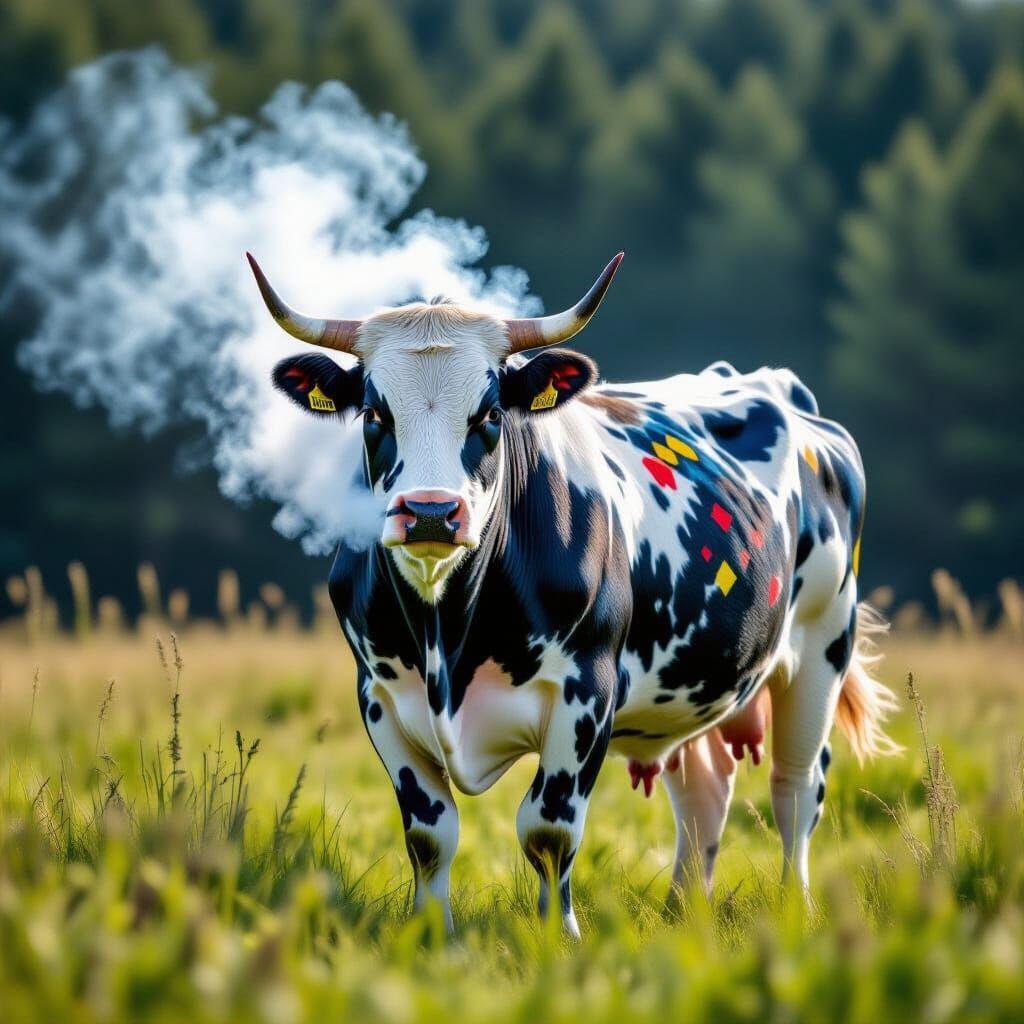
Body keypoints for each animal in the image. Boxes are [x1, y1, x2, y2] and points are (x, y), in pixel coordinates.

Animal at [247, 252, 899, 937]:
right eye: (375, 413)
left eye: (490, 414)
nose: (429, 512)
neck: (448, 634)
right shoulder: (379, 695)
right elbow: (429, 834)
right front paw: (429, 937)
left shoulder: (587, 691)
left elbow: (548, 828)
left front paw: (556, 939)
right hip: (693, 682)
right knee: (706, 789)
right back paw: (683, 911)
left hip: (822, 647)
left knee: (796, 787)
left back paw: (797, 909)